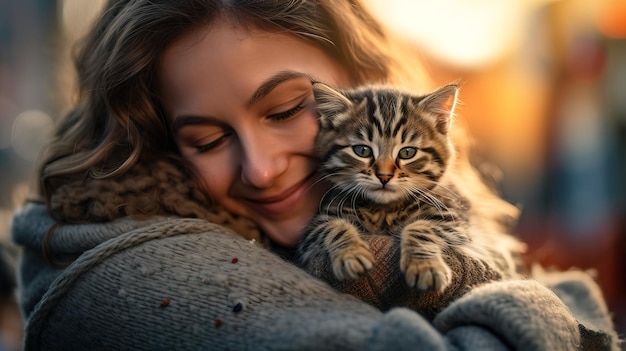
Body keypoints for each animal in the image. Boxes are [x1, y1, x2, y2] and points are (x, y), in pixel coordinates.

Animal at [300, 82, 520, 292]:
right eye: (362, 150)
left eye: (407, 152)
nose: (384, 176)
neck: (384, 211)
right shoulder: (314, 227)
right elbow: (333, 226)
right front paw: (351, 254)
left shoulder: (456, 222)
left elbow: (420, 226)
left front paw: (425, 267)